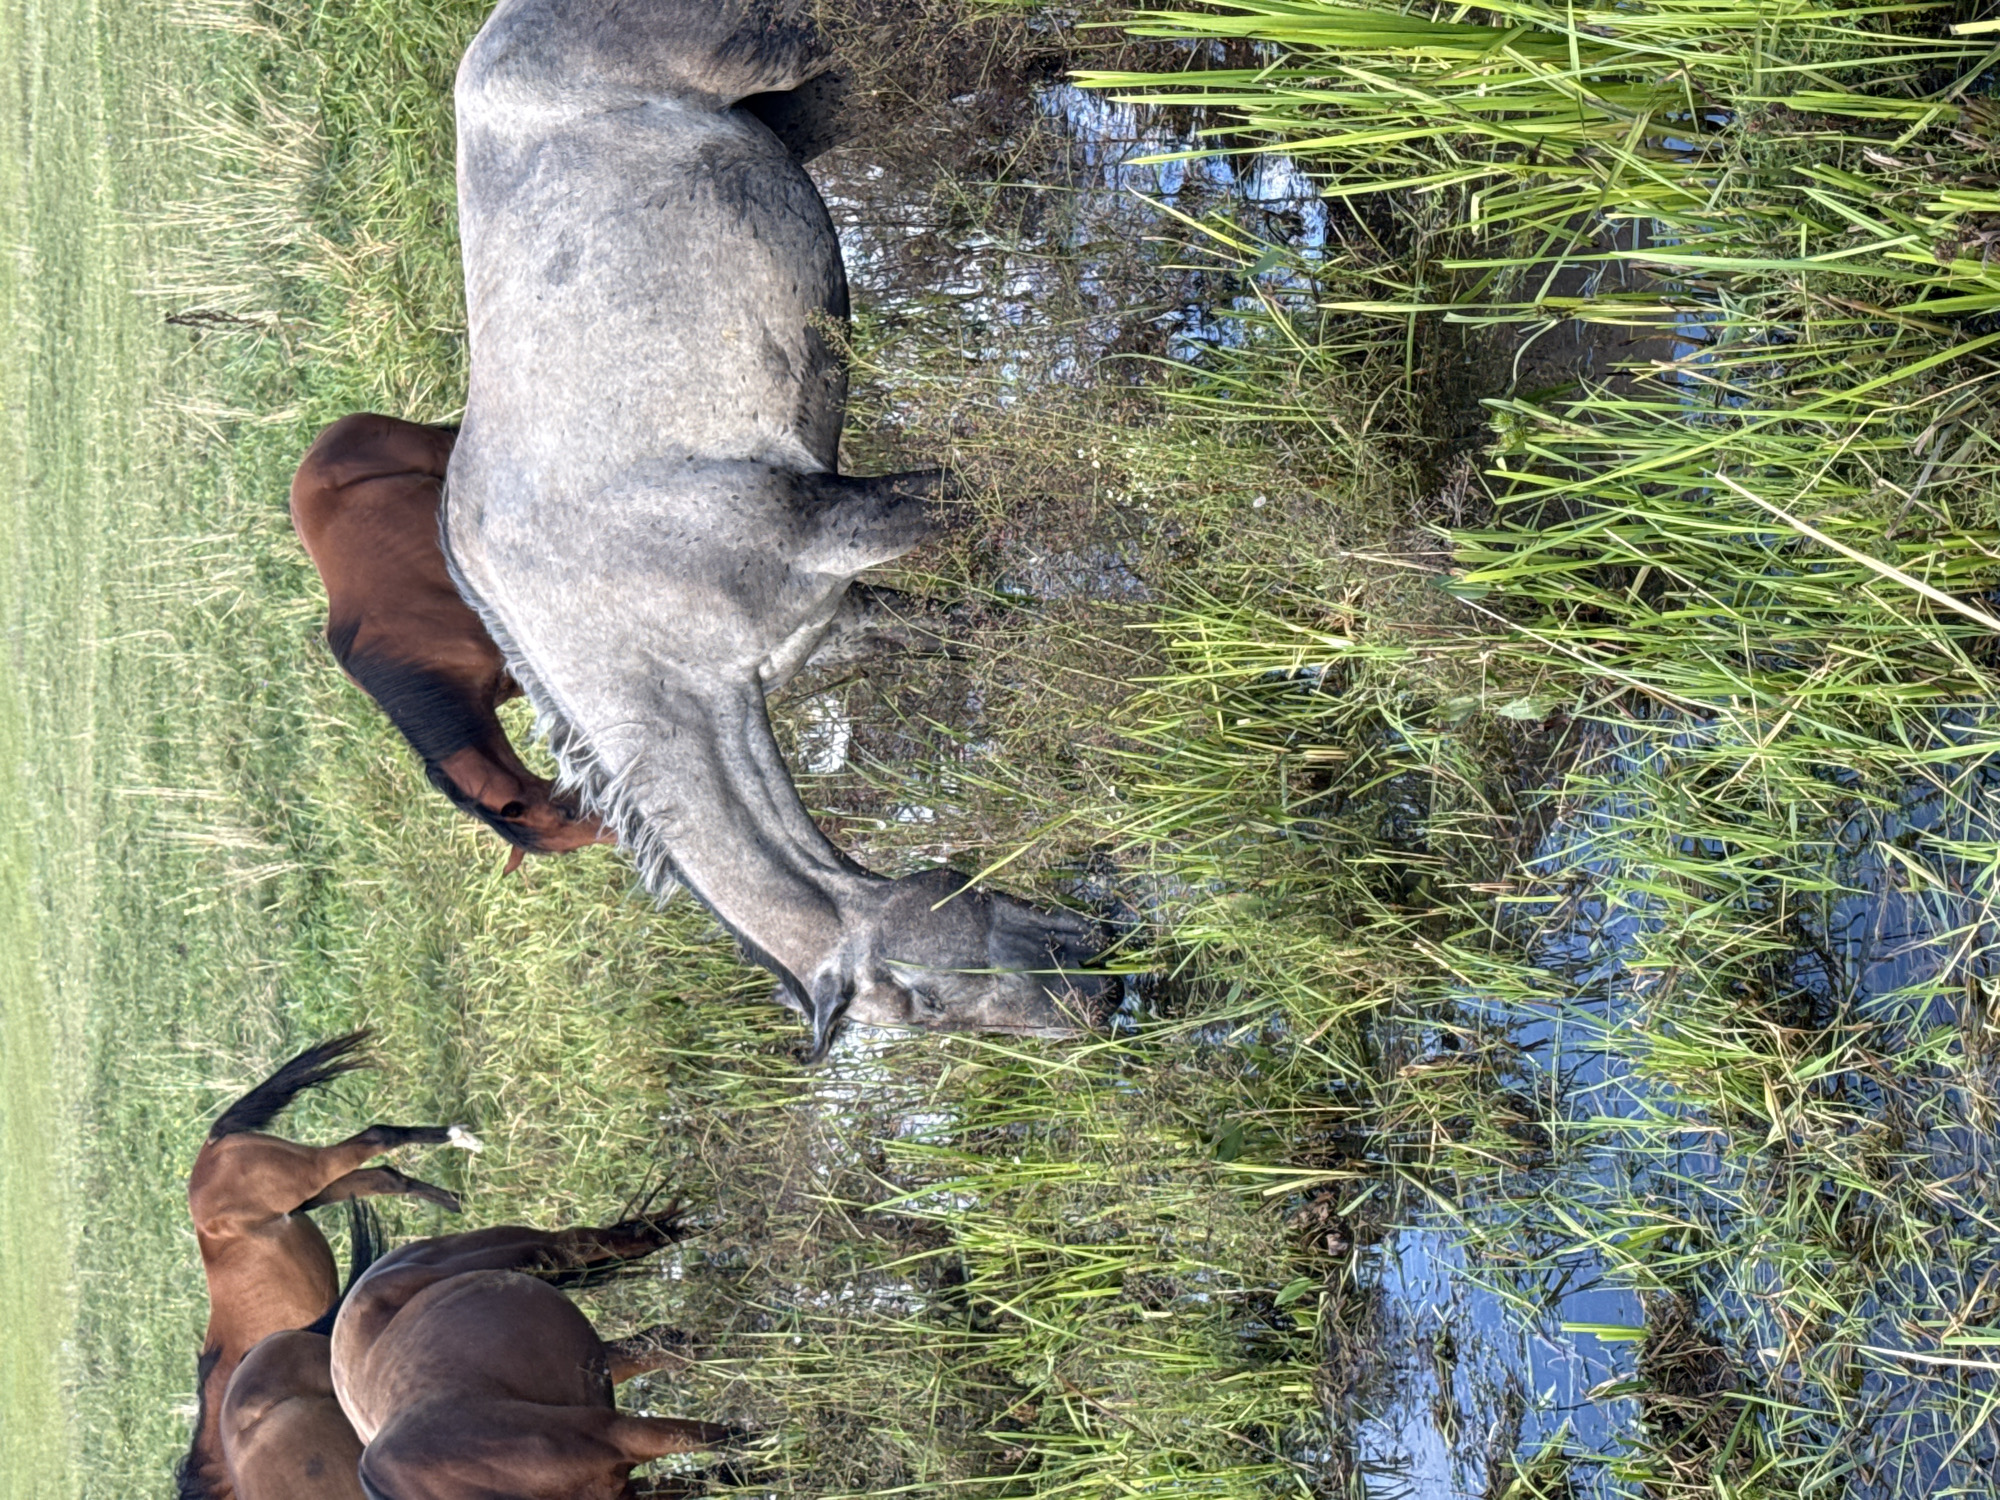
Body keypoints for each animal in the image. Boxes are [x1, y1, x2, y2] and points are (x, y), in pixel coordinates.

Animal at [177, 1031, 481, 1500]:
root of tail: (213, 1147)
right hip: (318, 1192)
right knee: (384, 1175)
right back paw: (455, 1198)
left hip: (310, 1175)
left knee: (376, 1137)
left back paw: (461, 1139)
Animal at [330, 1220, 726, 1499]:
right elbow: (722, 1472)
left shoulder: (622, 1435)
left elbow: (727, 1439)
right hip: (595, 1361)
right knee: (664, 1344)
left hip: (532, 1251)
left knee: (609, 1240)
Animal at [441, 0, 1113, 1060]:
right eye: (922, 1002)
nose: (1096, 999)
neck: (633, 619)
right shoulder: (838, 615)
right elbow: (981, 631)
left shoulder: (848, 520)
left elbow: (995, 497)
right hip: (812, 102)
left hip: (790, 44)